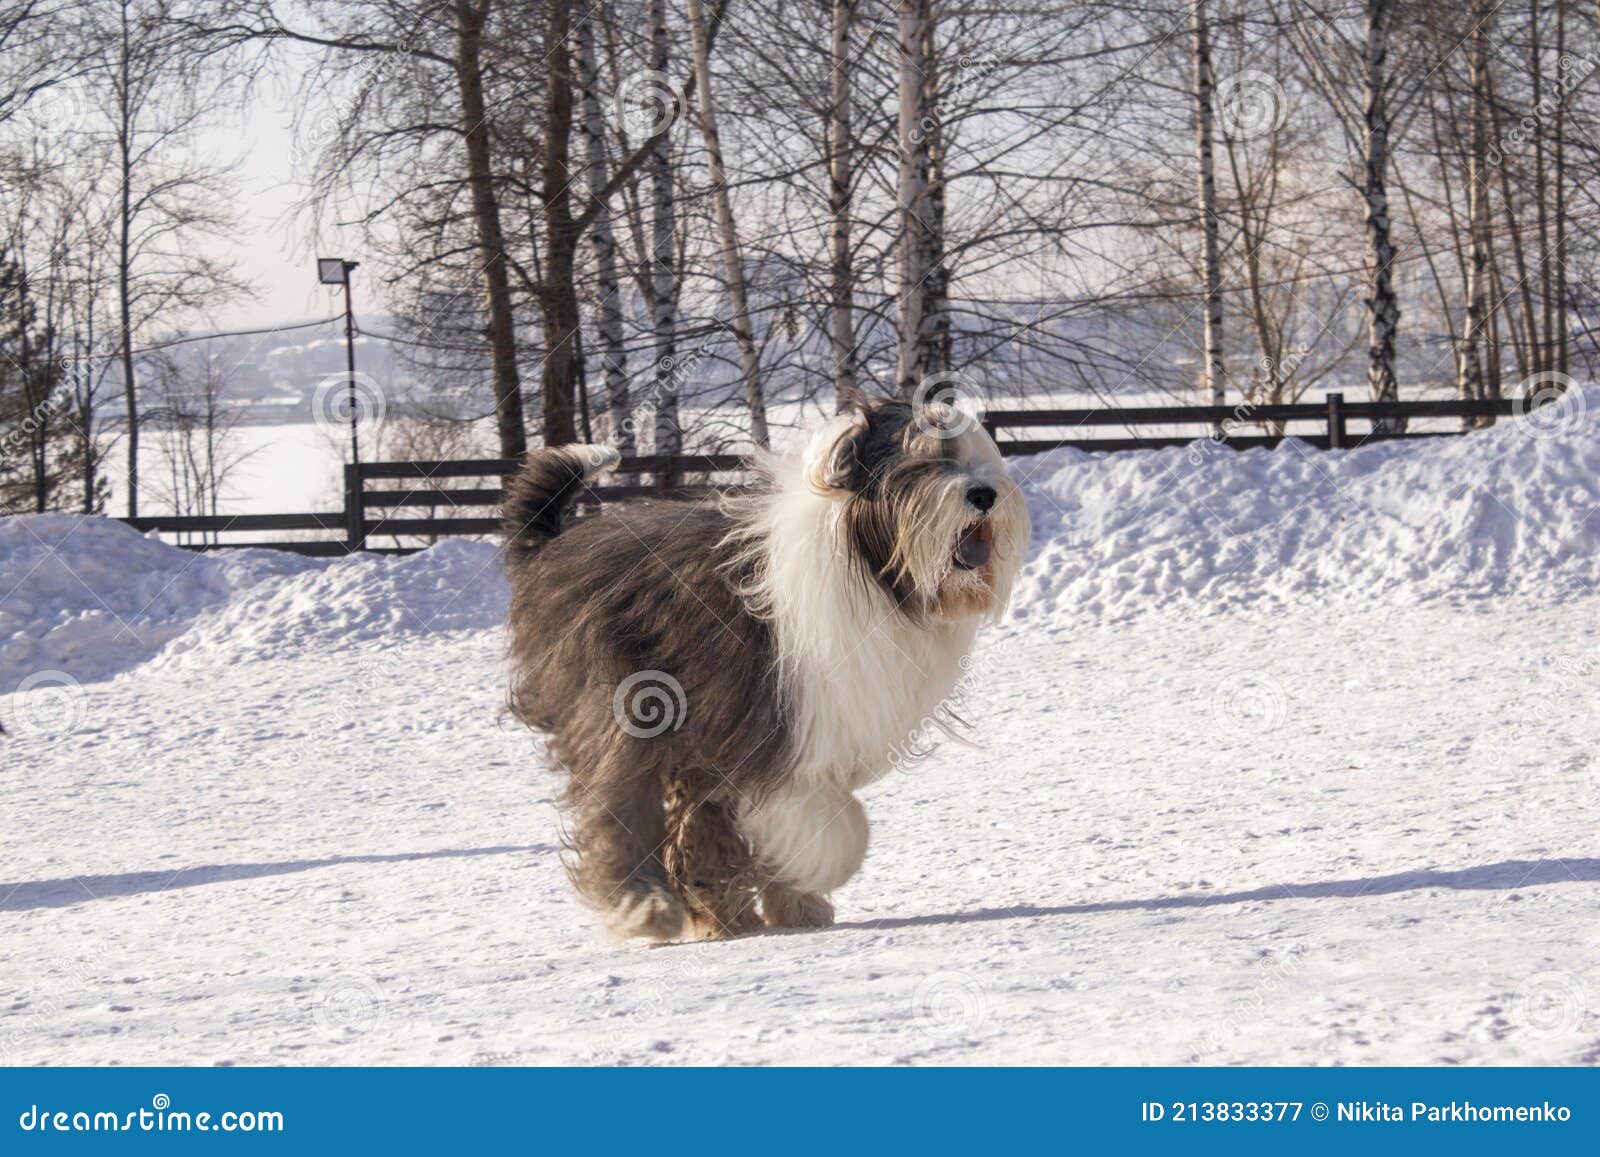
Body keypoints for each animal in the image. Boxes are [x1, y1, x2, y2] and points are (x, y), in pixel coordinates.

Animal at [499, 398, 1030, 940]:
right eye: (925, 461)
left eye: (974, 454)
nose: (984, 494)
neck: (872, 567)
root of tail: (551, 548)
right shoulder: (780, 734)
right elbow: (834, 826)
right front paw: (815, 875)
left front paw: (795, 905)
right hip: (622, 705)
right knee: (617, 806)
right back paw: (645, 906)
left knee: (693, 823)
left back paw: (720, 914)